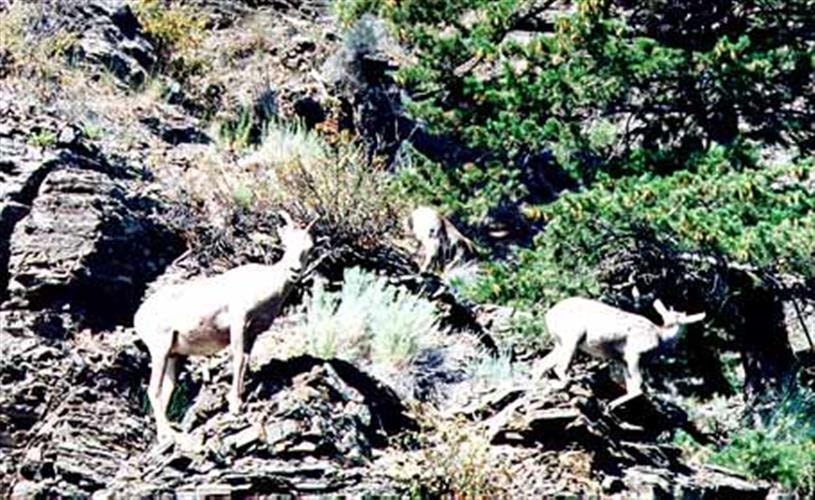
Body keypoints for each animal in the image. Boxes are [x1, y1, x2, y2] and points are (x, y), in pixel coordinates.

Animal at [134, 211, 315, 442]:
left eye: (309, 248)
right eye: (286, 244)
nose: (295, 271)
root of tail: (139, 315)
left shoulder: (252, 334)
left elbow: (245, 361)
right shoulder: (238, 324)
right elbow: (237, 360)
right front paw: (235, 407)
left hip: (174, 356)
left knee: (166, 391)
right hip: (160, 350)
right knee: (153, 391)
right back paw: (166, 434)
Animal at [533, 297, 705, 399]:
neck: (660, 337)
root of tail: (550, 314)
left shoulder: (622, 360)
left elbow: (630, 386)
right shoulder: (634, 355)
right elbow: (638, 387)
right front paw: (611, 405)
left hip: (560, 343)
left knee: (541, 365)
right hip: (572, 340)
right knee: (559, 368)